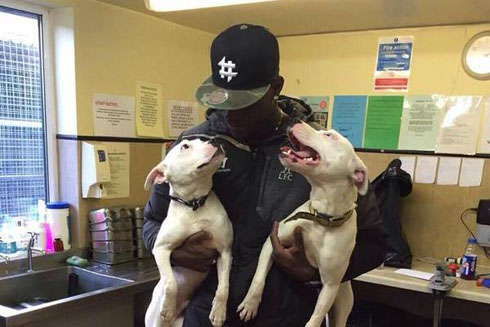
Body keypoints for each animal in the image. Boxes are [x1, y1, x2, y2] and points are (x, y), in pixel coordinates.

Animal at [145, 140, 233, 327]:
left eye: (203, 140)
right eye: (185, 146)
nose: (215, 139)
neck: (194, 203)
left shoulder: (225, 251)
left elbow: (223, 287)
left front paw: (219, 311)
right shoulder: (161, 249)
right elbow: (170, 282)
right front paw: (168, 307)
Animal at [237, 122, 368, 327]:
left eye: (329, 135)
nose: (296, 121)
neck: (322, 217)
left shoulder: (330, 285)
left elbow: (316, 315)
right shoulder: (272, 243)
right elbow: (258, 278)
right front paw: (250, 304)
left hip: (341, 303)